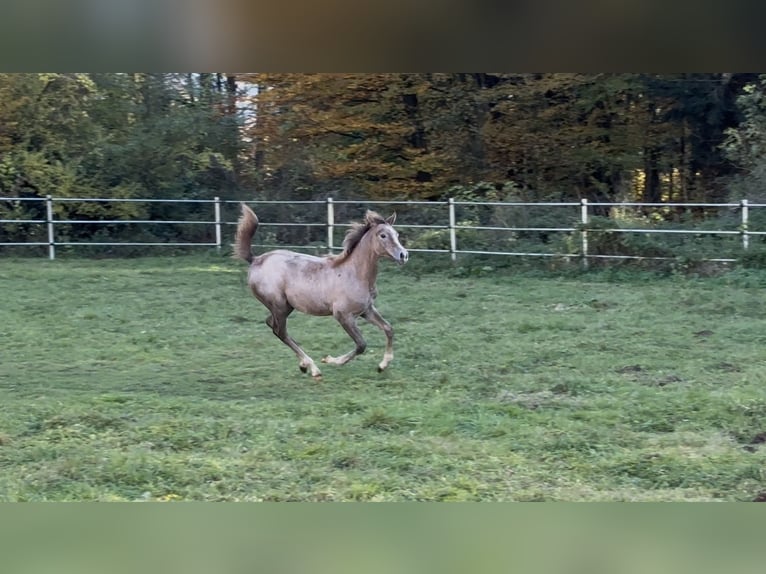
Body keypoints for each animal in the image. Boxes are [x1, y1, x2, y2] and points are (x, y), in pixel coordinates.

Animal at [234, 203, 409, 380]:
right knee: (280, 331)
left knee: (271, 324)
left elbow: (388, 329)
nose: (404, 255)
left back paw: (303, 365)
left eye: (396, 234)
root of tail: (256, 260)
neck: (355, 273)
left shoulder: (366, 310)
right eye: (383, 235)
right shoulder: (343, 315)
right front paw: (331, 360)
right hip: (279, 305)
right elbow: (361, 344)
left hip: (286, 307)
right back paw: (313, 368)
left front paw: (382, 365)